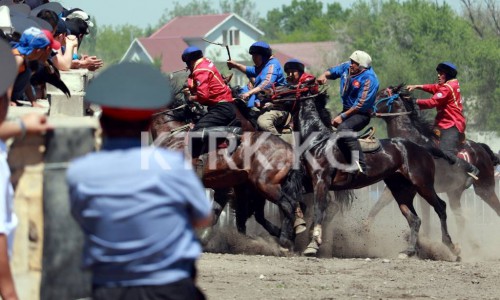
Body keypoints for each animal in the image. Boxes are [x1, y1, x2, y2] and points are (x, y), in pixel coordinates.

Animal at [149, 91, 304, 248]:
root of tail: (288, 149)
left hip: (265, 185)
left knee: (287, 205)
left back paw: (285, 240)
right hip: (255, 189)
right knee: (261, 214)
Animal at [292, 91, 460, 260]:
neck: (319, 142)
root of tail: (423, 148)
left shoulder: (321, 181)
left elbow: (319, 208)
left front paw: (313, 244)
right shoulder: (310, 182)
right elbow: (296, 196)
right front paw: (300, 225)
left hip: (423, 185)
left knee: (441, 207)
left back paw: (452, 247)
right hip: (401, 190)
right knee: (415, 219)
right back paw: (409, 251)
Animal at [368, 84, 500, 239]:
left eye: (382, 94)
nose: (367, 109)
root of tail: (481, 148)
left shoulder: (424, 188)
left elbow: (426, 221)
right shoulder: (394, 188)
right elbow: (375, 209)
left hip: (485, 189)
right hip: (454, 193)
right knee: (460, 219)